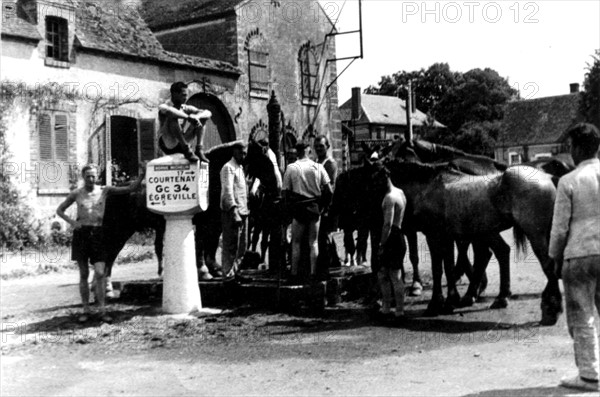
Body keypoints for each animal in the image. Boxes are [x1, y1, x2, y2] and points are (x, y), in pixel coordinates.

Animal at [366, 159, 564, 324]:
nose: (370, 219)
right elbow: (448, 268)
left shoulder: (434, 237)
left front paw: (435, 304)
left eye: (373, 181)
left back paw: (550, 311)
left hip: (534, 235)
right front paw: (449, 301)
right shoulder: (446, 237)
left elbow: (438, 269)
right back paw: (500, 298)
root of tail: (549, 177)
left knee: (547, 264)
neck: (427, 187)